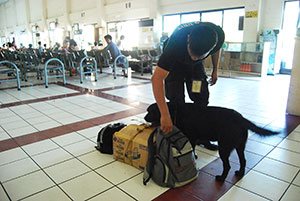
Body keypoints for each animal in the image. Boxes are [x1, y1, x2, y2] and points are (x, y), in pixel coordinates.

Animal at [144, 103, 278, 181]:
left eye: (150, 111)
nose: (145, 117)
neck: (174, 111)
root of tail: (240, 118)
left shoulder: (192, 137)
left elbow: (192, 148)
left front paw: (194, 156)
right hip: (240, 146)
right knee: (243, 161)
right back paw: (240, 173)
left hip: (224, 148)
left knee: (227, 166)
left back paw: (221, 178)